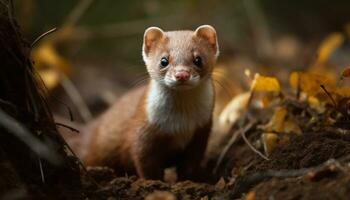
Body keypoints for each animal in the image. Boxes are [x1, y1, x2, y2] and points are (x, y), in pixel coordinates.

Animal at [83, 24, 219, 180]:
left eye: (198, 59)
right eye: (164, 60)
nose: (181, 74)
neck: (180, 123)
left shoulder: (201, 132)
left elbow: (190, 164)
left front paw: (189, 179)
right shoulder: (143, 130)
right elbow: (146, 163)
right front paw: (153, 182)